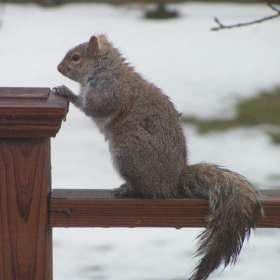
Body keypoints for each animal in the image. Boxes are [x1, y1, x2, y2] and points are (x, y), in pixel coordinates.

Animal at [53, 34, 264, 280]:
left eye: (75, 57)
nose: (58, 68)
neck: (106, 68)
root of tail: (173, 181)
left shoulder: (111, 90)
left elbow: (94, 106)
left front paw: (68, 92)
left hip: (128, 154)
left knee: (149, 191)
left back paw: (129, 189)